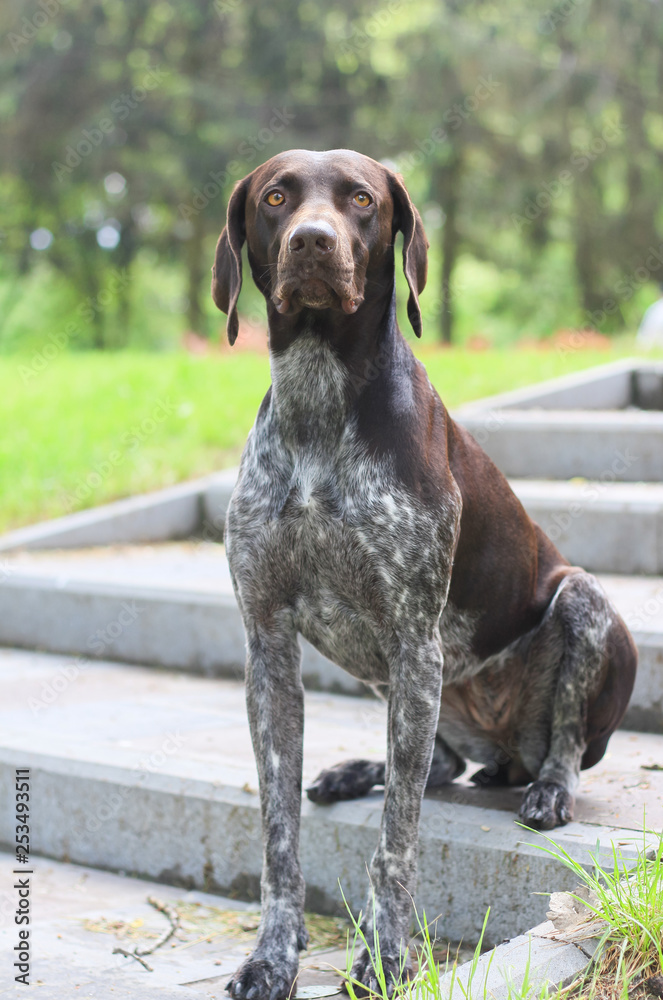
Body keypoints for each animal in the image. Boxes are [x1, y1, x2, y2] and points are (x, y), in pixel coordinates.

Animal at [213, 150, 640, 1000]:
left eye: (360, 200)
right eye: (275, 198)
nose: (312, 242)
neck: (318, 409)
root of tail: (503, 747)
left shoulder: (414, 642)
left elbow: (396, 842)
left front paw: (384, 956)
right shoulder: (268, 651)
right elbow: (278, 834)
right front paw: (272, 956)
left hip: (575, 603)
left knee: (562, 740)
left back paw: (547, 787)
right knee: (439, 760)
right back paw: (359, 769)